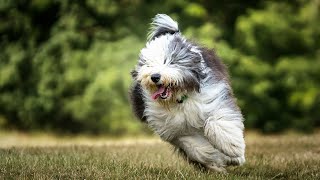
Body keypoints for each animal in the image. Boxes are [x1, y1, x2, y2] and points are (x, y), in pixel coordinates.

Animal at [130, 14, 245, 172]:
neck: (180, 99)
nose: (155, 77)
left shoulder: (214, 99)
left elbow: (217, 122)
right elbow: (194, 146)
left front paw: (234, 150)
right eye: (148, 64)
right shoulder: (175, 130)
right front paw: (215, 160)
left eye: (170, 61)